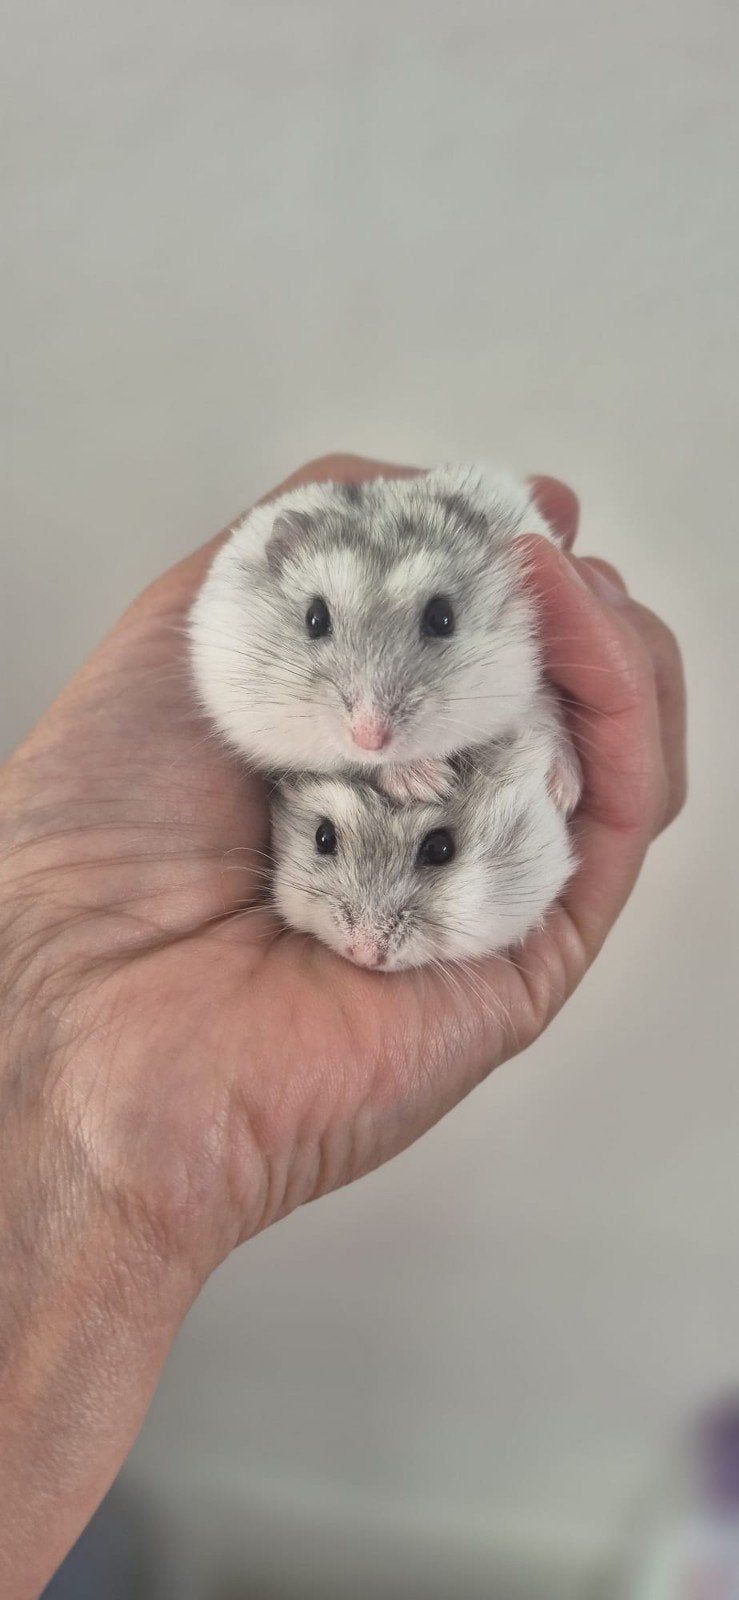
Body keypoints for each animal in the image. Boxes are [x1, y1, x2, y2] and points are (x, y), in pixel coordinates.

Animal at [188, 464, 574, 803]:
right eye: (315, 618)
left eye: (442, 618)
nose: (369, 740)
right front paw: (429, 783)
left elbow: (547, 717)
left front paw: (561, 793)